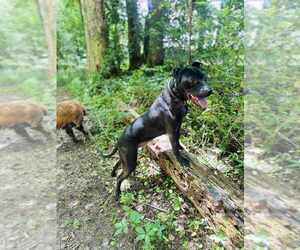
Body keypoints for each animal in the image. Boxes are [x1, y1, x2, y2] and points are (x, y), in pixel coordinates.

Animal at [103, 62, 213, 201]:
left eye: (205, 77)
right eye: (193, 81)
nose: (210, 91)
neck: (175, 97)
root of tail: (119, 139)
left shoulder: (178, 126)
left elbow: (178, 141)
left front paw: (181, 148)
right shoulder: (171, 130)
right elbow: (174, 147)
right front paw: (181, 160)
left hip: (127, 156)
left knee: (118, 164)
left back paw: (112, 173)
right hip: (130, 159)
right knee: (119, 178)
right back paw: (117, 194)